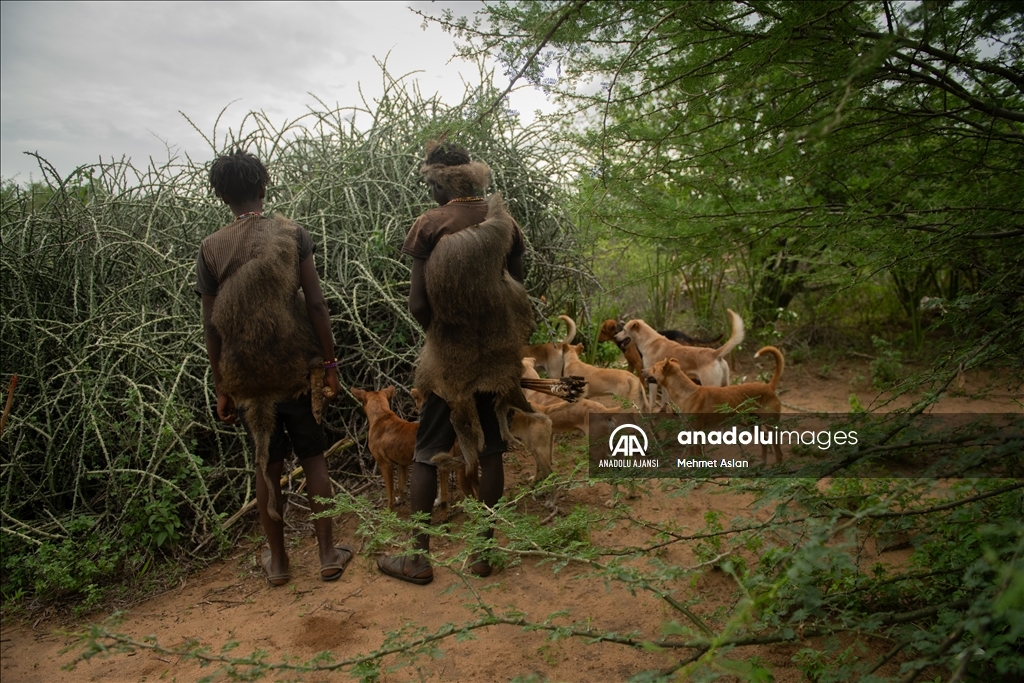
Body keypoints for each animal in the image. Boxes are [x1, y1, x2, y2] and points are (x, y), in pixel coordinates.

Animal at [647, 344, 782, 462]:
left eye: (653, 368)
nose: (643, 370)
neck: (687, 393)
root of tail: (769, 387)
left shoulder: (697, 431)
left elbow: (697, 455)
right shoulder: (689, 431)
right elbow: (692, 454)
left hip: (770, 425)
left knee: (778, 450)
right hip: (752, 423)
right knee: (764, 441)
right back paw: (763, 463)